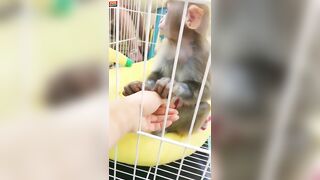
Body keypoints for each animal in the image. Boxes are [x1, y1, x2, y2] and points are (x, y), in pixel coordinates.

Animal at [124, 0, 211, 135]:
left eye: (167, 11)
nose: (161, 20)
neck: (183, 45)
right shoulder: (167, 45)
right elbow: (158, 72)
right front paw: (146, 85)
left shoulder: (204, 54)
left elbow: (206, 90)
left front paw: (175, 86)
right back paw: (133, 89)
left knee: (203, 107)